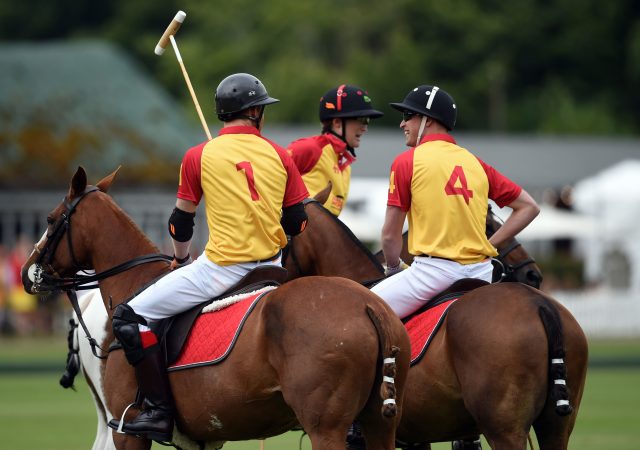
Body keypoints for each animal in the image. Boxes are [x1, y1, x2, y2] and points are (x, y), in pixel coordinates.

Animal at [21, 169, 410, 450]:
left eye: (51, 219)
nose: (27, 272)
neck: (134, 281)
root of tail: (370, 307)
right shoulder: (204, 439)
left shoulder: (128, 429)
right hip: (380, 423)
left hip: (327, 428)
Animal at [288, 201, 588, 450]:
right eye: (489, 226)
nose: (533, 274)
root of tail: (540, 304)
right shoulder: (416, 438)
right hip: (557, 425)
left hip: (505, 429)